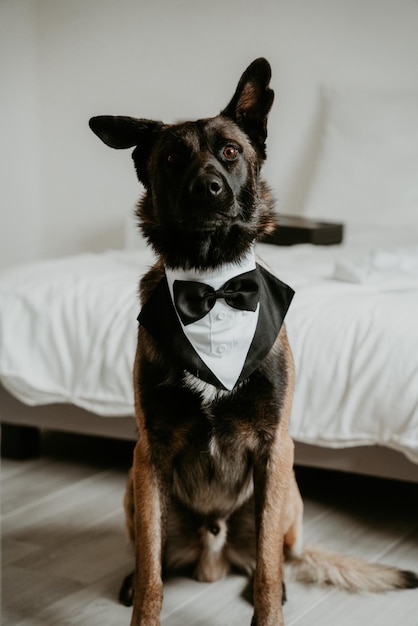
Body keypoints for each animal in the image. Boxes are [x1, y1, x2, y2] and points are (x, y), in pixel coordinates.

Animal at [89, 58, 418, 624]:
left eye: (229, 152)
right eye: (172, 158)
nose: (209, 188)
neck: (213, 284)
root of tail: (213, 554)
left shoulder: (273, 448)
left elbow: (265, 568)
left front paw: (269, 606)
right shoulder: (150, 453)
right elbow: (153, 572)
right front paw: (144, 601)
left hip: (290, 492)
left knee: (279, 555)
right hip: (135, 485)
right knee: (151, 553)